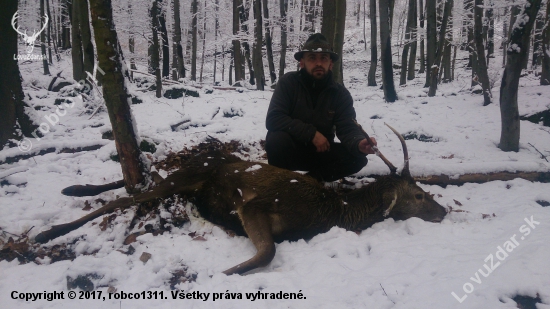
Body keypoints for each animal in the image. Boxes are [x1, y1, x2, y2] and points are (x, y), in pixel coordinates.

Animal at [34, 124, 448, 274]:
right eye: (417, 193)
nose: (443, 210)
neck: (334, 211)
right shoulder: (253, 205)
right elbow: (267, 253)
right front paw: (222, 275)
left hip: (185, 183)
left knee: (136, 184)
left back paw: (74, 190)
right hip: (187, 177)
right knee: (122, 199)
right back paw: (47, 231)